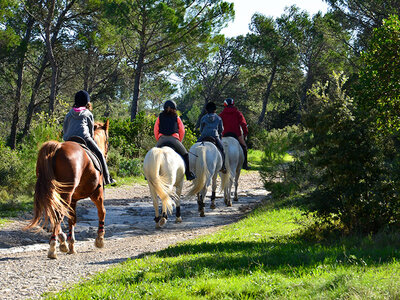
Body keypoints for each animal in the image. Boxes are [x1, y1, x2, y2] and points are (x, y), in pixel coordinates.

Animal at [26, 119, 109, 258]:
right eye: (107, 140)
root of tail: (57, 148)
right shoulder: (97, 193)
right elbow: (101, 212)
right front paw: (100, 239)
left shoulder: (74, 199)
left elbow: (72, 219)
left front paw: (71, 245)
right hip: (67, 193)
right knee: (58, 215)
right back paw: (53, 247)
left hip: (54, 192)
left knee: (54, 213)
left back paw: (61, 241)